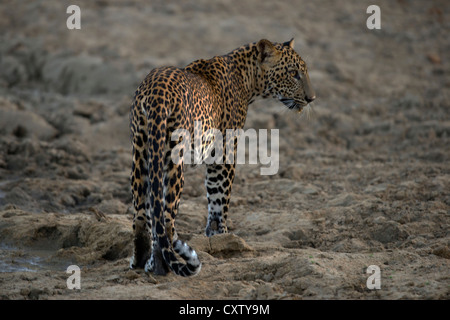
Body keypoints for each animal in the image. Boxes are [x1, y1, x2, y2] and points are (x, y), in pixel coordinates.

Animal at [128, 37, 314, 276]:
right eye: (293, 73)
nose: (311, 98)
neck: (248, 78)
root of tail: (156, 94)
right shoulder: (224, 152)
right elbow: (219, 197)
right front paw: (222, 237)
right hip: (172, 160)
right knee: (166, 216)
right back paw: (163, 266)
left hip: (141, 152)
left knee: (142, 213)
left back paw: (141, 261)